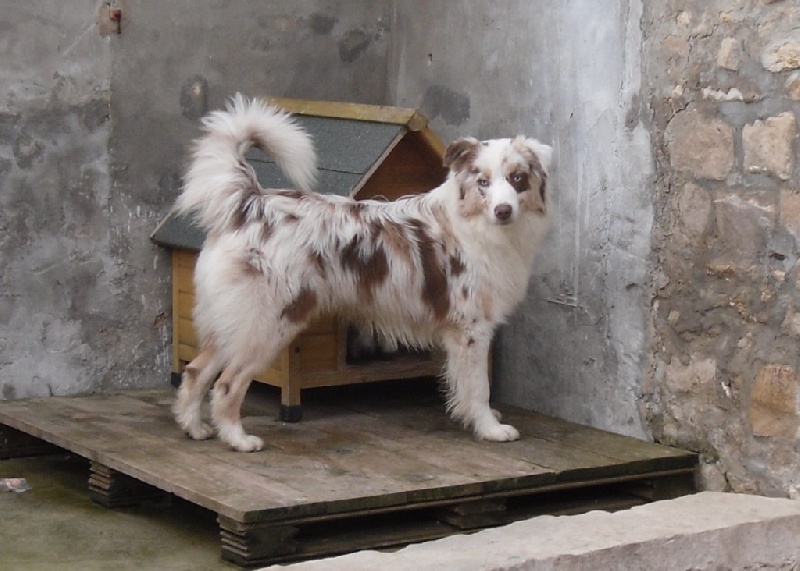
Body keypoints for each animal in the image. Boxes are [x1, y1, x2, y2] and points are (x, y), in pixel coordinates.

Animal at [172, 94, 553, 451]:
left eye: (518, 179)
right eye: (483, 182)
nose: (503, 210)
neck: (475, 224)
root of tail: (252, 203)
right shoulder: (471, 328)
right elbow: (479, 386)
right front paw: (490, 428)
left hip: (233, 324)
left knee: (195, 371)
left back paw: (195, 428)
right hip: (267, 324)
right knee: (226, 383)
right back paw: (237, 439)